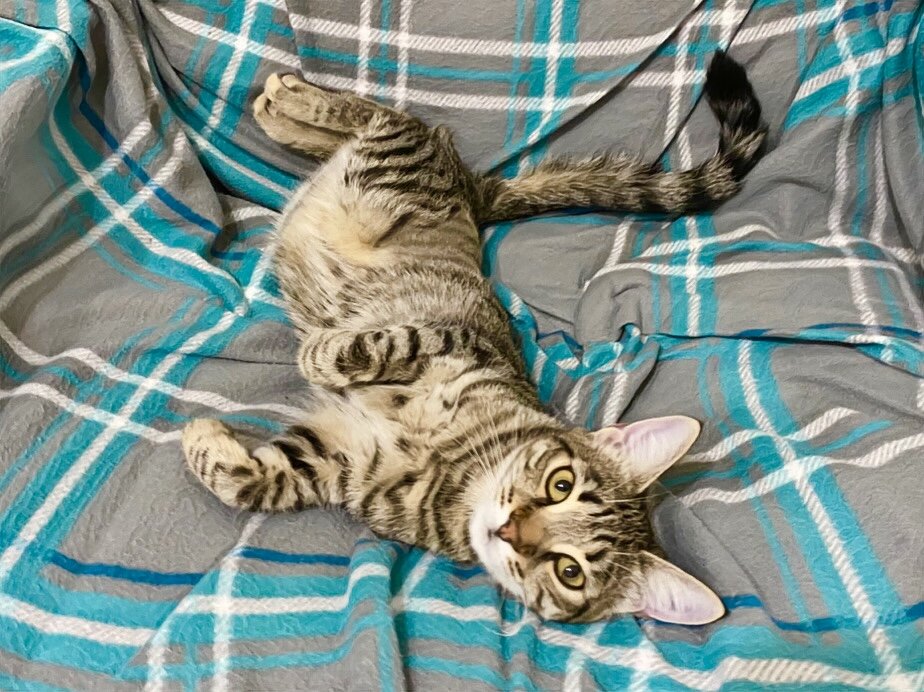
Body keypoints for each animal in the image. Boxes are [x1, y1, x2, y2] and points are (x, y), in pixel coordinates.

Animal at [182, 51, 766, 624]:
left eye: (570, 572)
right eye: (561, 484)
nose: (510, 530)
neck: (454, 474)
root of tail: (475, 193)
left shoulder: (337, 462)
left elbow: (249, 482)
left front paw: (204, 437)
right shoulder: (452, 340)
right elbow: (379, 344)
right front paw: (313, 358)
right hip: (393, 166)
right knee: (391, 120)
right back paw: (289, 103)